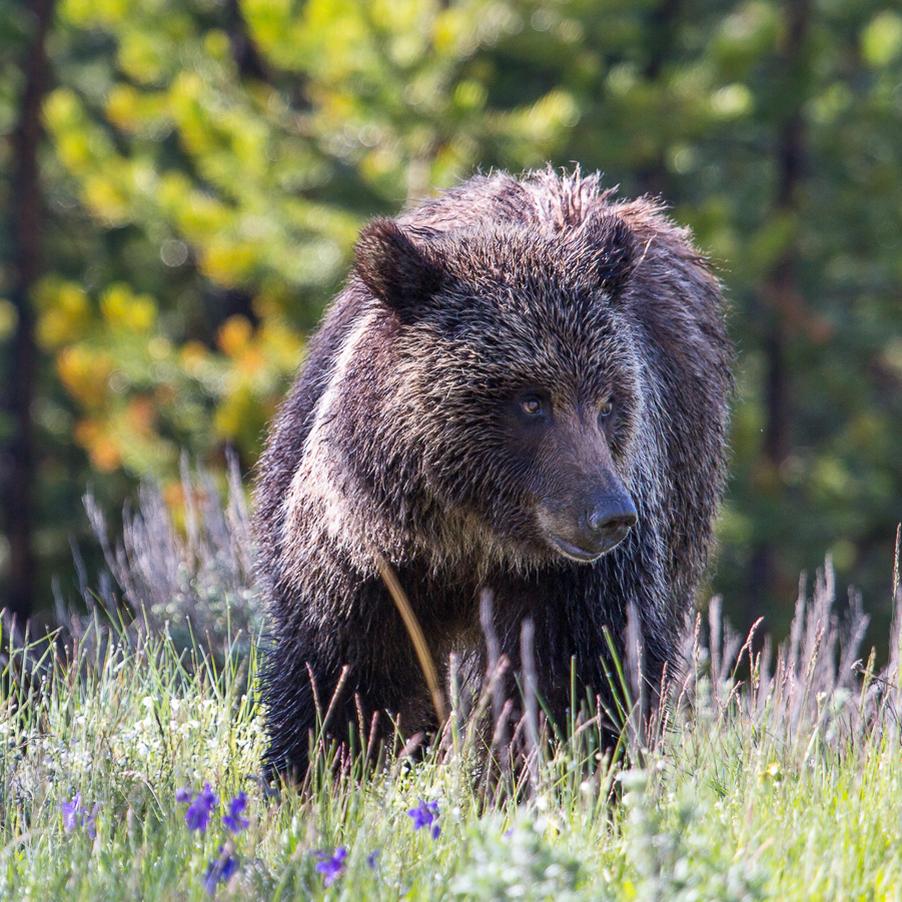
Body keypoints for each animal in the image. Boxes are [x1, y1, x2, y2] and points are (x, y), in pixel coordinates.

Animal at [253, 168, 732, 780]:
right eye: (532, 401)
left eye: (607, 402)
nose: (611, 514)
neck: (467, 538)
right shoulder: (360, 560)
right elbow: (343, 680)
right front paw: (312, 773)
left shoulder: (572, 586)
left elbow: (579, 684)